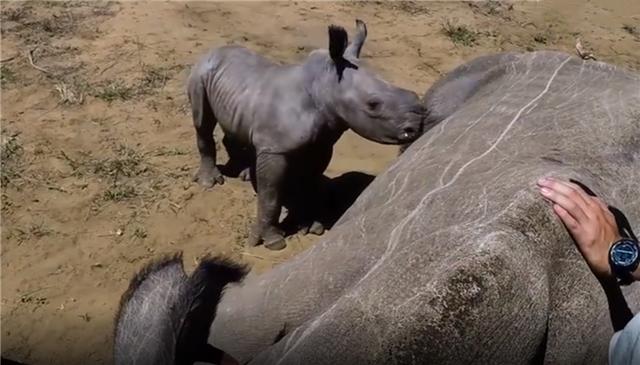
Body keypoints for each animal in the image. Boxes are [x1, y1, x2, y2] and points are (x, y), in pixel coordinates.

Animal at [189, 20, 430, 250]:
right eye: (373, 105)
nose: (416, 127)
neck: (323, 86)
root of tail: (214, 50)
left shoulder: (322, 143)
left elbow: (309, 182)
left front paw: (310, 225)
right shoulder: (275, 149)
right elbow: (271, 194)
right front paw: (272, 241)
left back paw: (246, 173)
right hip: (200, 73)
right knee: (202, 121)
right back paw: (209, 183)